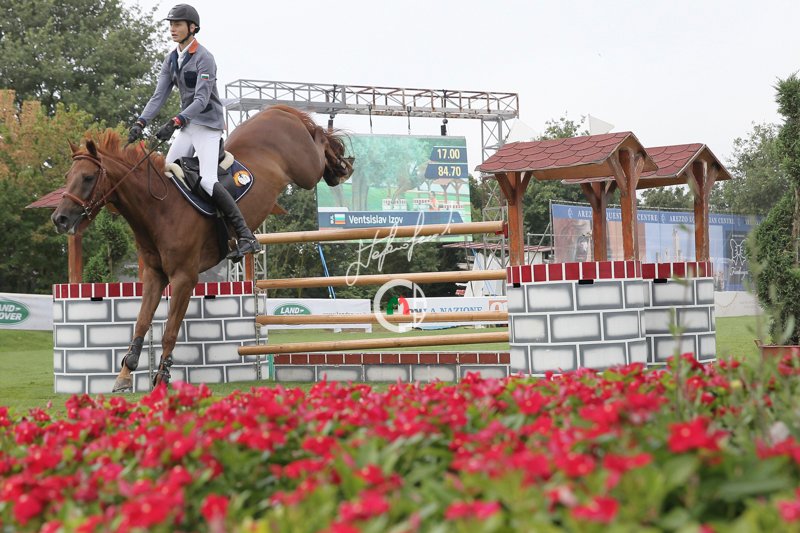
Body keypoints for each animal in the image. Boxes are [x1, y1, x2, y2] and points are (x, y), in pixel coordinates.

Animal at [51, 105, 353, 392]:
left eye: (88, 178)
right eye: (67, 176)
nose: (59, 219)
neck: (159, 208)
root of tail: (276, 111)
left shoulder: (184, 278)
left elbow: (170, 331)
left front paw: (162, 377)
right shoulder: (154, 275)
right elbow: (142, 322)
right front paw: (126, 372)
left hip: (305, 170)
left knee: (320, 143)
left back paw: (341, 163)